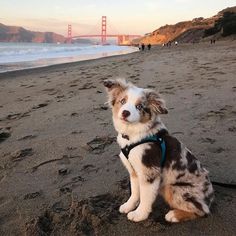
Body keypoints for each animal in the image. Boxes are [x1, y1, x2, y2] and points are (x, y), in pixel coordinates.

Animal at [103, 78, 214, 222]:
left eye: (139, 106)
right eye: (122, 101)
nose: (125, 112)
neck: (133, 135)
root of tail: (210, 199)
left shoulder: (149, 172)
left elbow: (145, 197)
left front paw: (139, 214)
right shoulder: (134, 171)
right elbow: (135, 191)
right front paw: (128, 206)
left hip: (173, 188)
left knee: (202, 211)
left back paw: (173, 215)